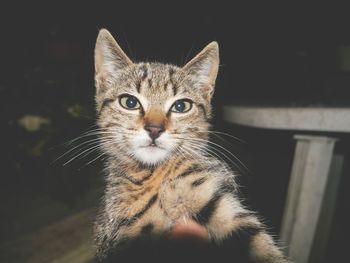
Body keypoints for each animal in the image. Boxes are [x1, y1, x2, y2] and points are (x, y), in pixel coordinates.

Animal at [92, 29, 288, 263]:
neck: (157, 175)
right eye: (129, 102)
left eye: (181, 106)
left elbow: (259, 244)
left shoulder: (214, 198)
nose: (154, 129)